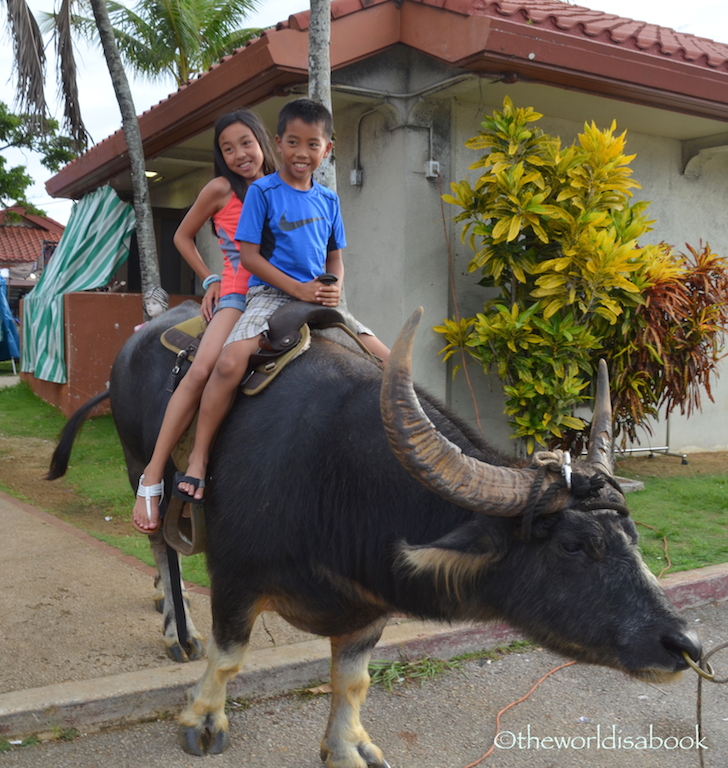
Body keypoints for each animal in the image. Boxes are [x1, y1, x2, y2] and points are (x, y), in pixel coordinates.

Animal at [48, 302, 696, 768]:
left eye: (632, 536)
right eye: (572, 545)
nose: (684, 644)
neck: (334, 478)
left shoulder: (371, 602)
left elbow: (352, 679)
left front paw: (346, 747)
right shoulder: (235, 577)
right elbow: (229, 656)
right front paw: (203, 720)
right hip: (138, 460)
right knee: (160, 539)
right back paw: (177, 627)